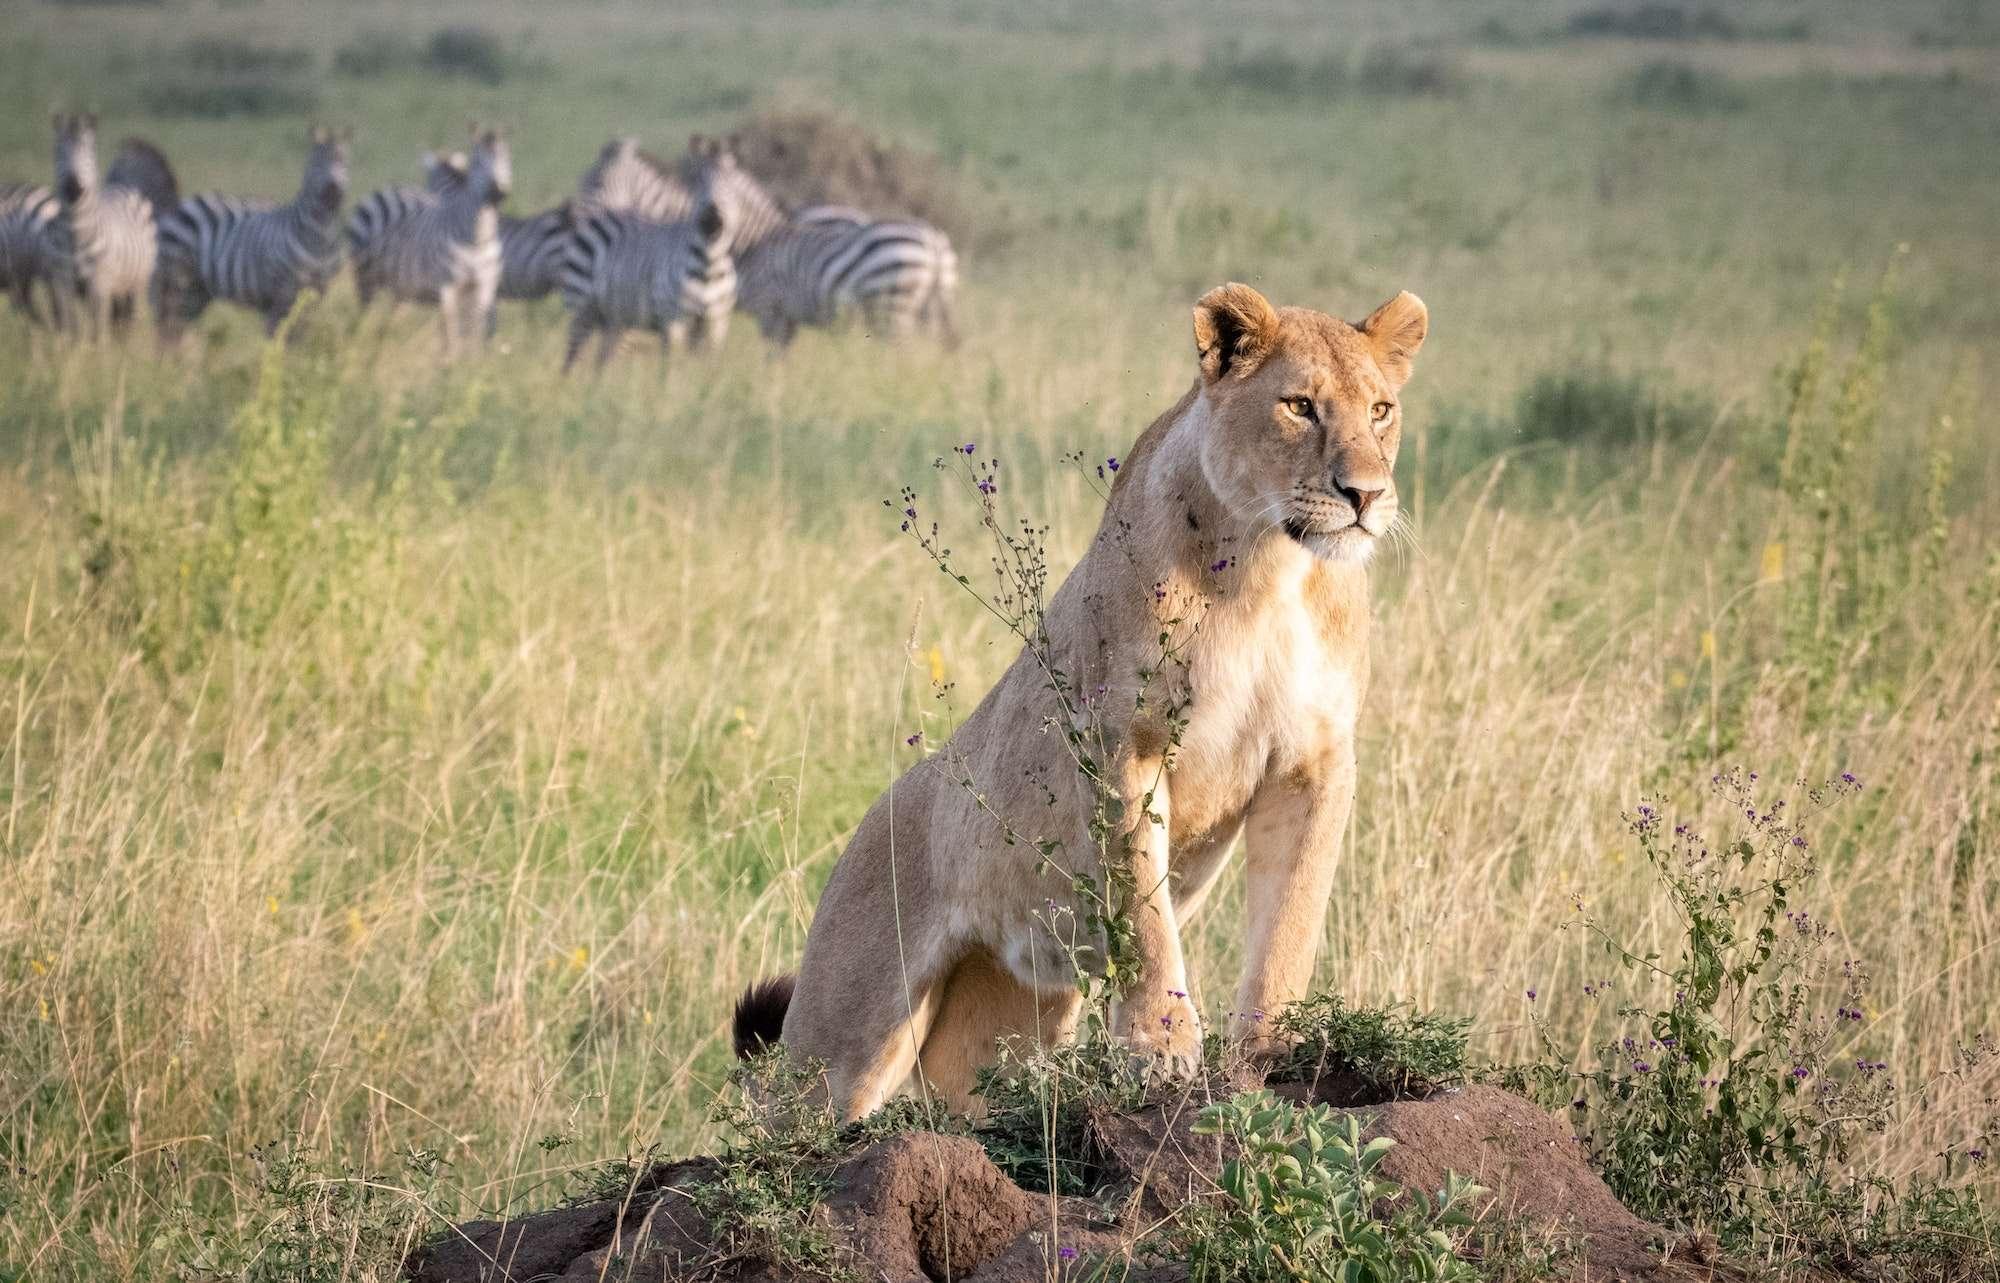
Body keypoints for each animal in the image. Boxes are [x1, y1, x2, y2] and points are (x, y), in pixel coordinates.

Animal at [734, 282, 1428, 1120]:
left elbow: (1291, 914)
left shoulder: (1314, 759)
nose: (1365, 493)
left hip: (1008, 1015)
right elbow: (1145, 914)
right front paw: (1160, 1049)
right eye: (1299, 406)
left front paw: (1274, 1050)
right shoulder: (1120, 741)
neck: (1270, 568)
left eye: (1381, 410)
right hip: (842, 1042)